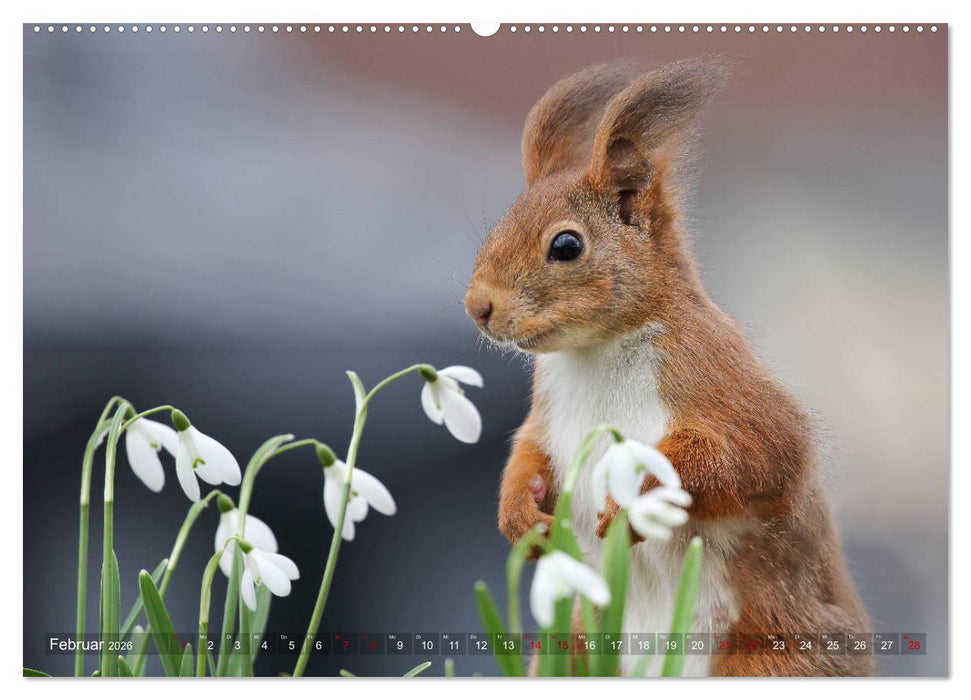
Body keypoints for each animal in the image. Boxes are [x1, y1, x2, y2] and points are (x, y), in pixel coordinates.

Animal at [464, 57, 873, 677]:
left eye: (566, 246)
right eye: (496, 227)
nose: (477, 306)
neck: (597, 353)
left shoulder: (716, 378)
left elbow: (751, 455)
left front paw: (635, 501)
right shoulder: (547, 413)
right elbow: (527, 453)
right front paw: (519, 518)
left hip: (770, 656)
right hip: (575, 649)